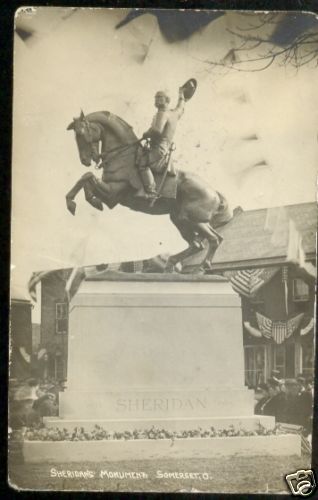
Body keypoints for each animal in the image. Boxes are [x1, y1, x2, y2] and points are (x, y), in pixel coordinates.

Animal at [66, 111, 232, 270]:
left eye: (81, 132)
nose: (85, 160)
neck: (123, 156)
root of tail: (214, 192)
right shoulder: (110, 194)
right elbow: (86, 178)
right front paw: (86, 200)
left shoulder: (112, 193)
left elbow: (87, 176)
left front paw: (76, 202)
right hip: (181, 219)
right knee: (200, 244)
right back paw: (171, 263)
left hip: (190, 219)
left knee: (212, 240)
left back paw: (201, 267)